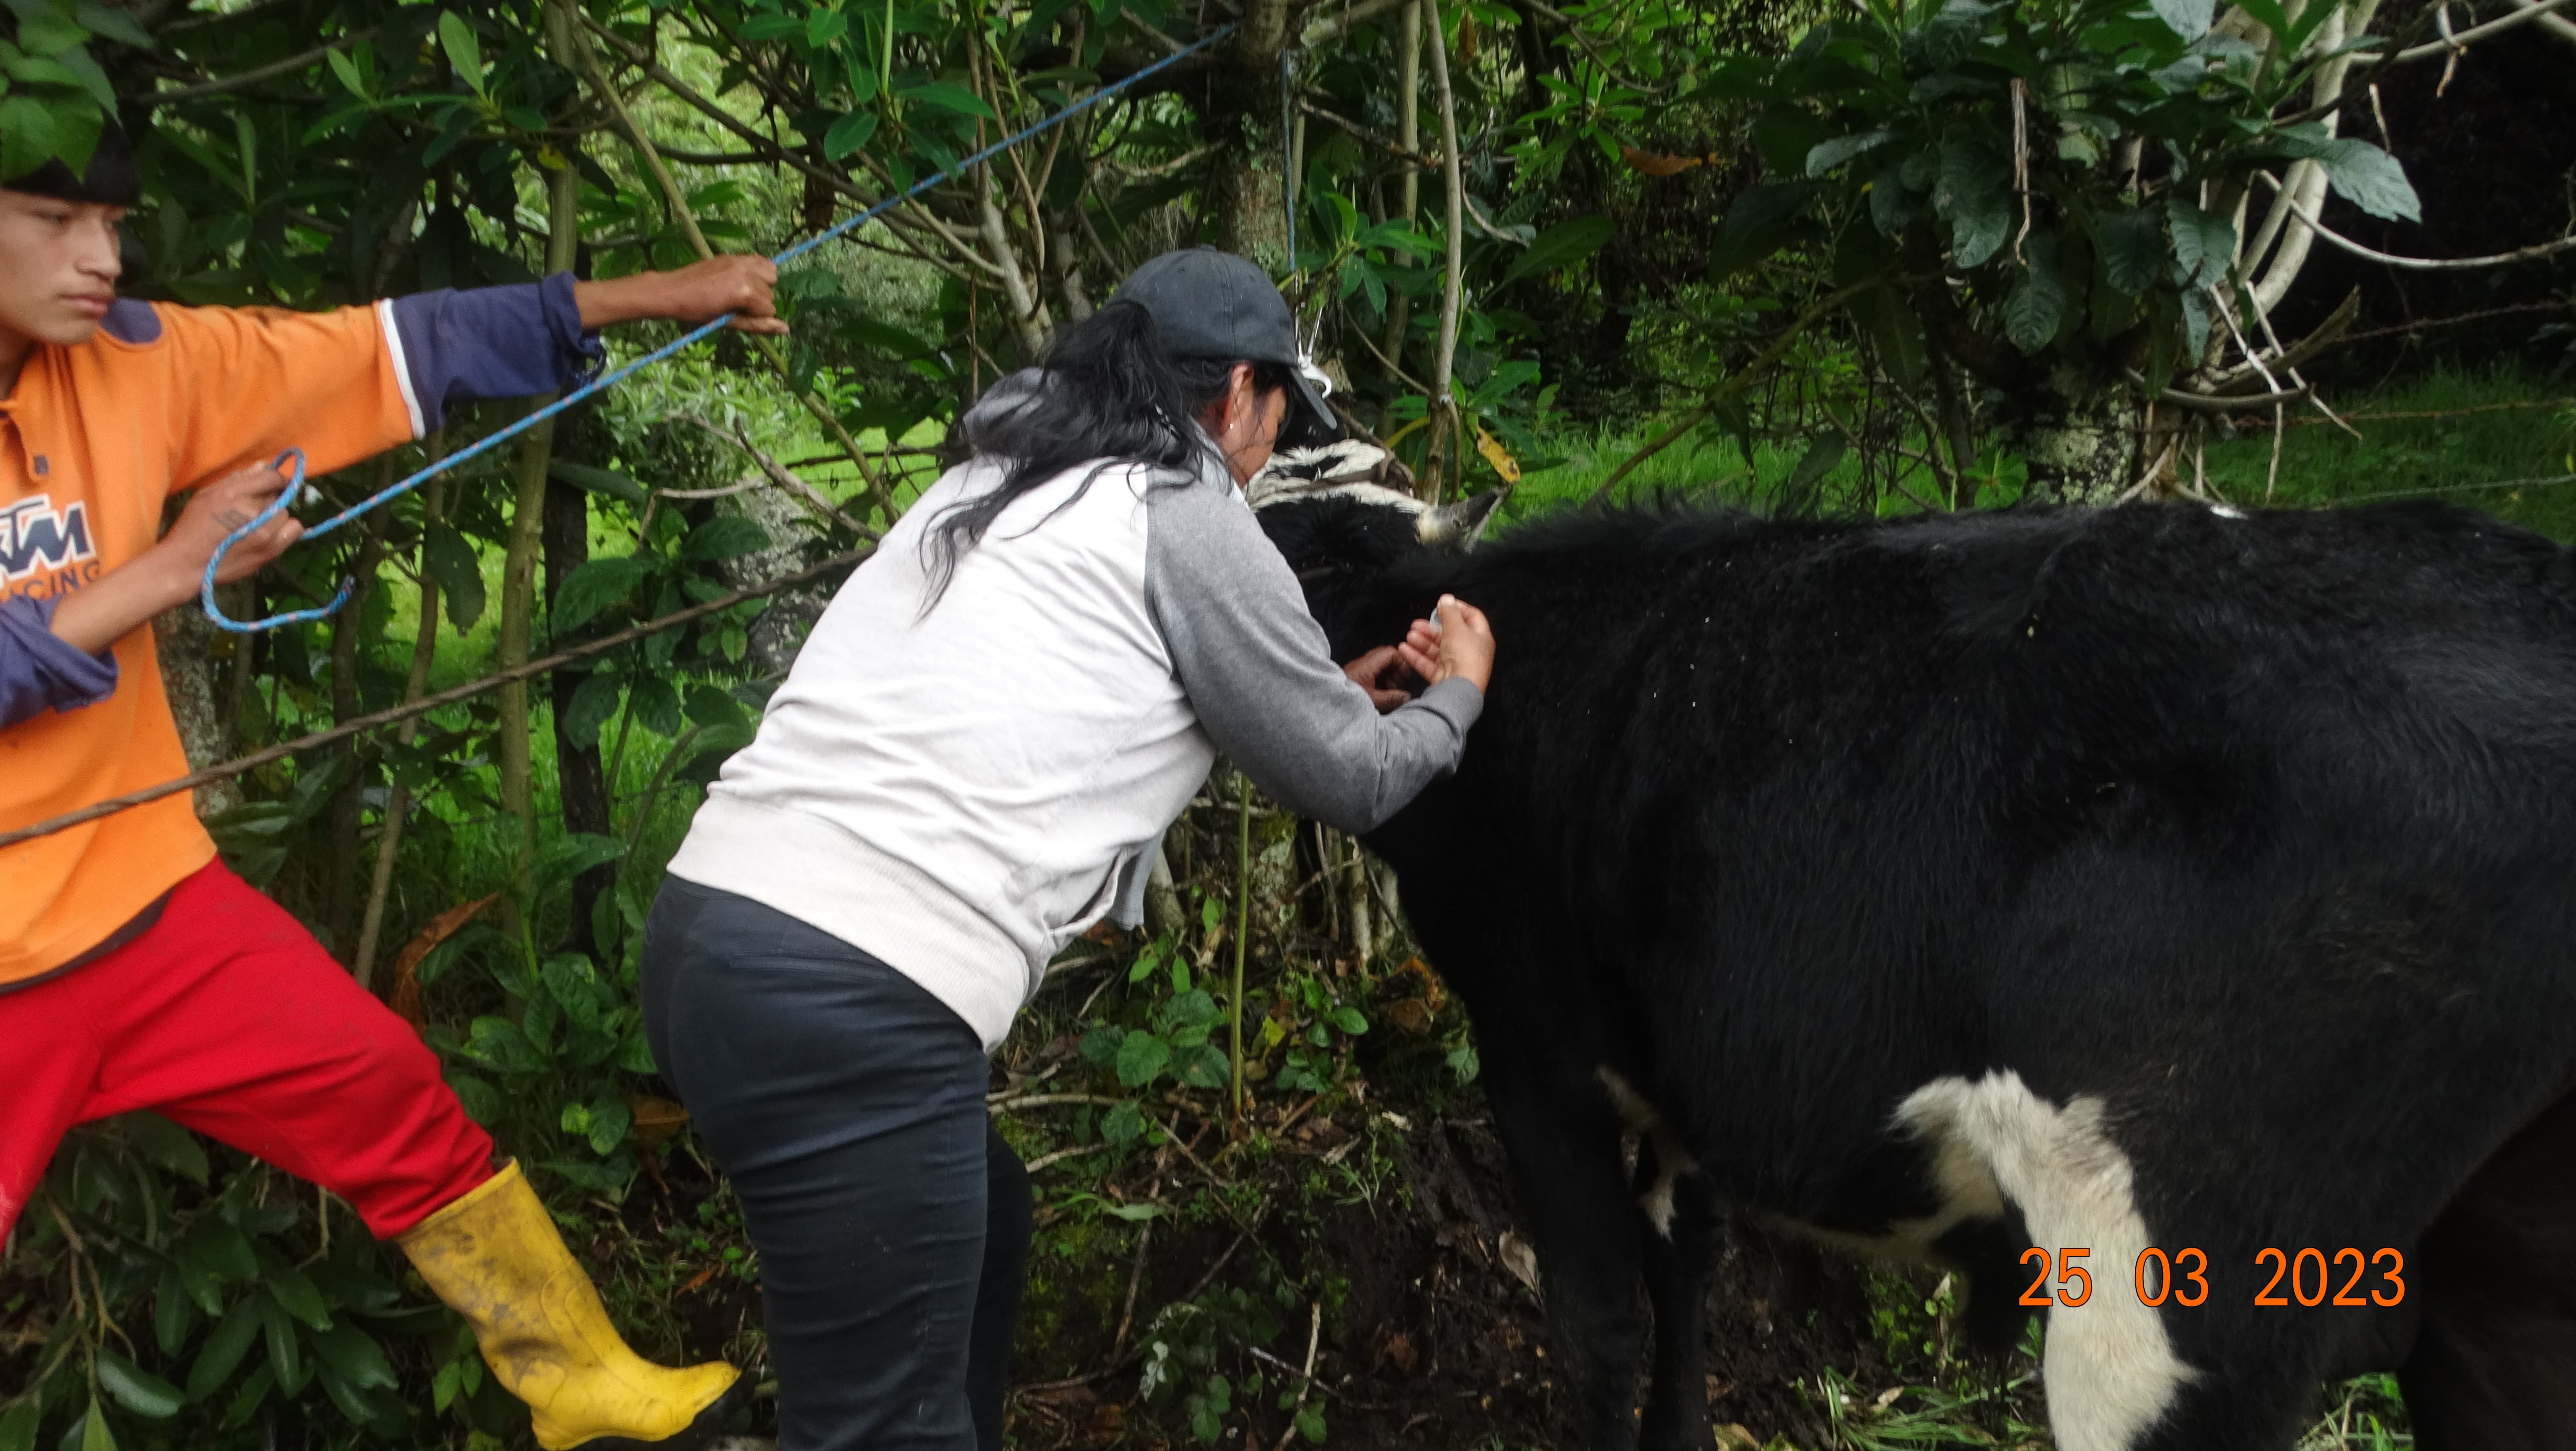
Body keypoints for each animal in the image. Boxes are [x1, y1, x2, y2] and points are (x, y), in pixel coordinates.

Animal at [1248, 442, 2576, 1451]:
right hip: (2502, 1298)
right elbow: (1685, 1265)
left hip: (2176, 1288)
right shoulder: (1687, 1063)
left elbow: (1596, 1322)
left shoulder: (1534, 1042)